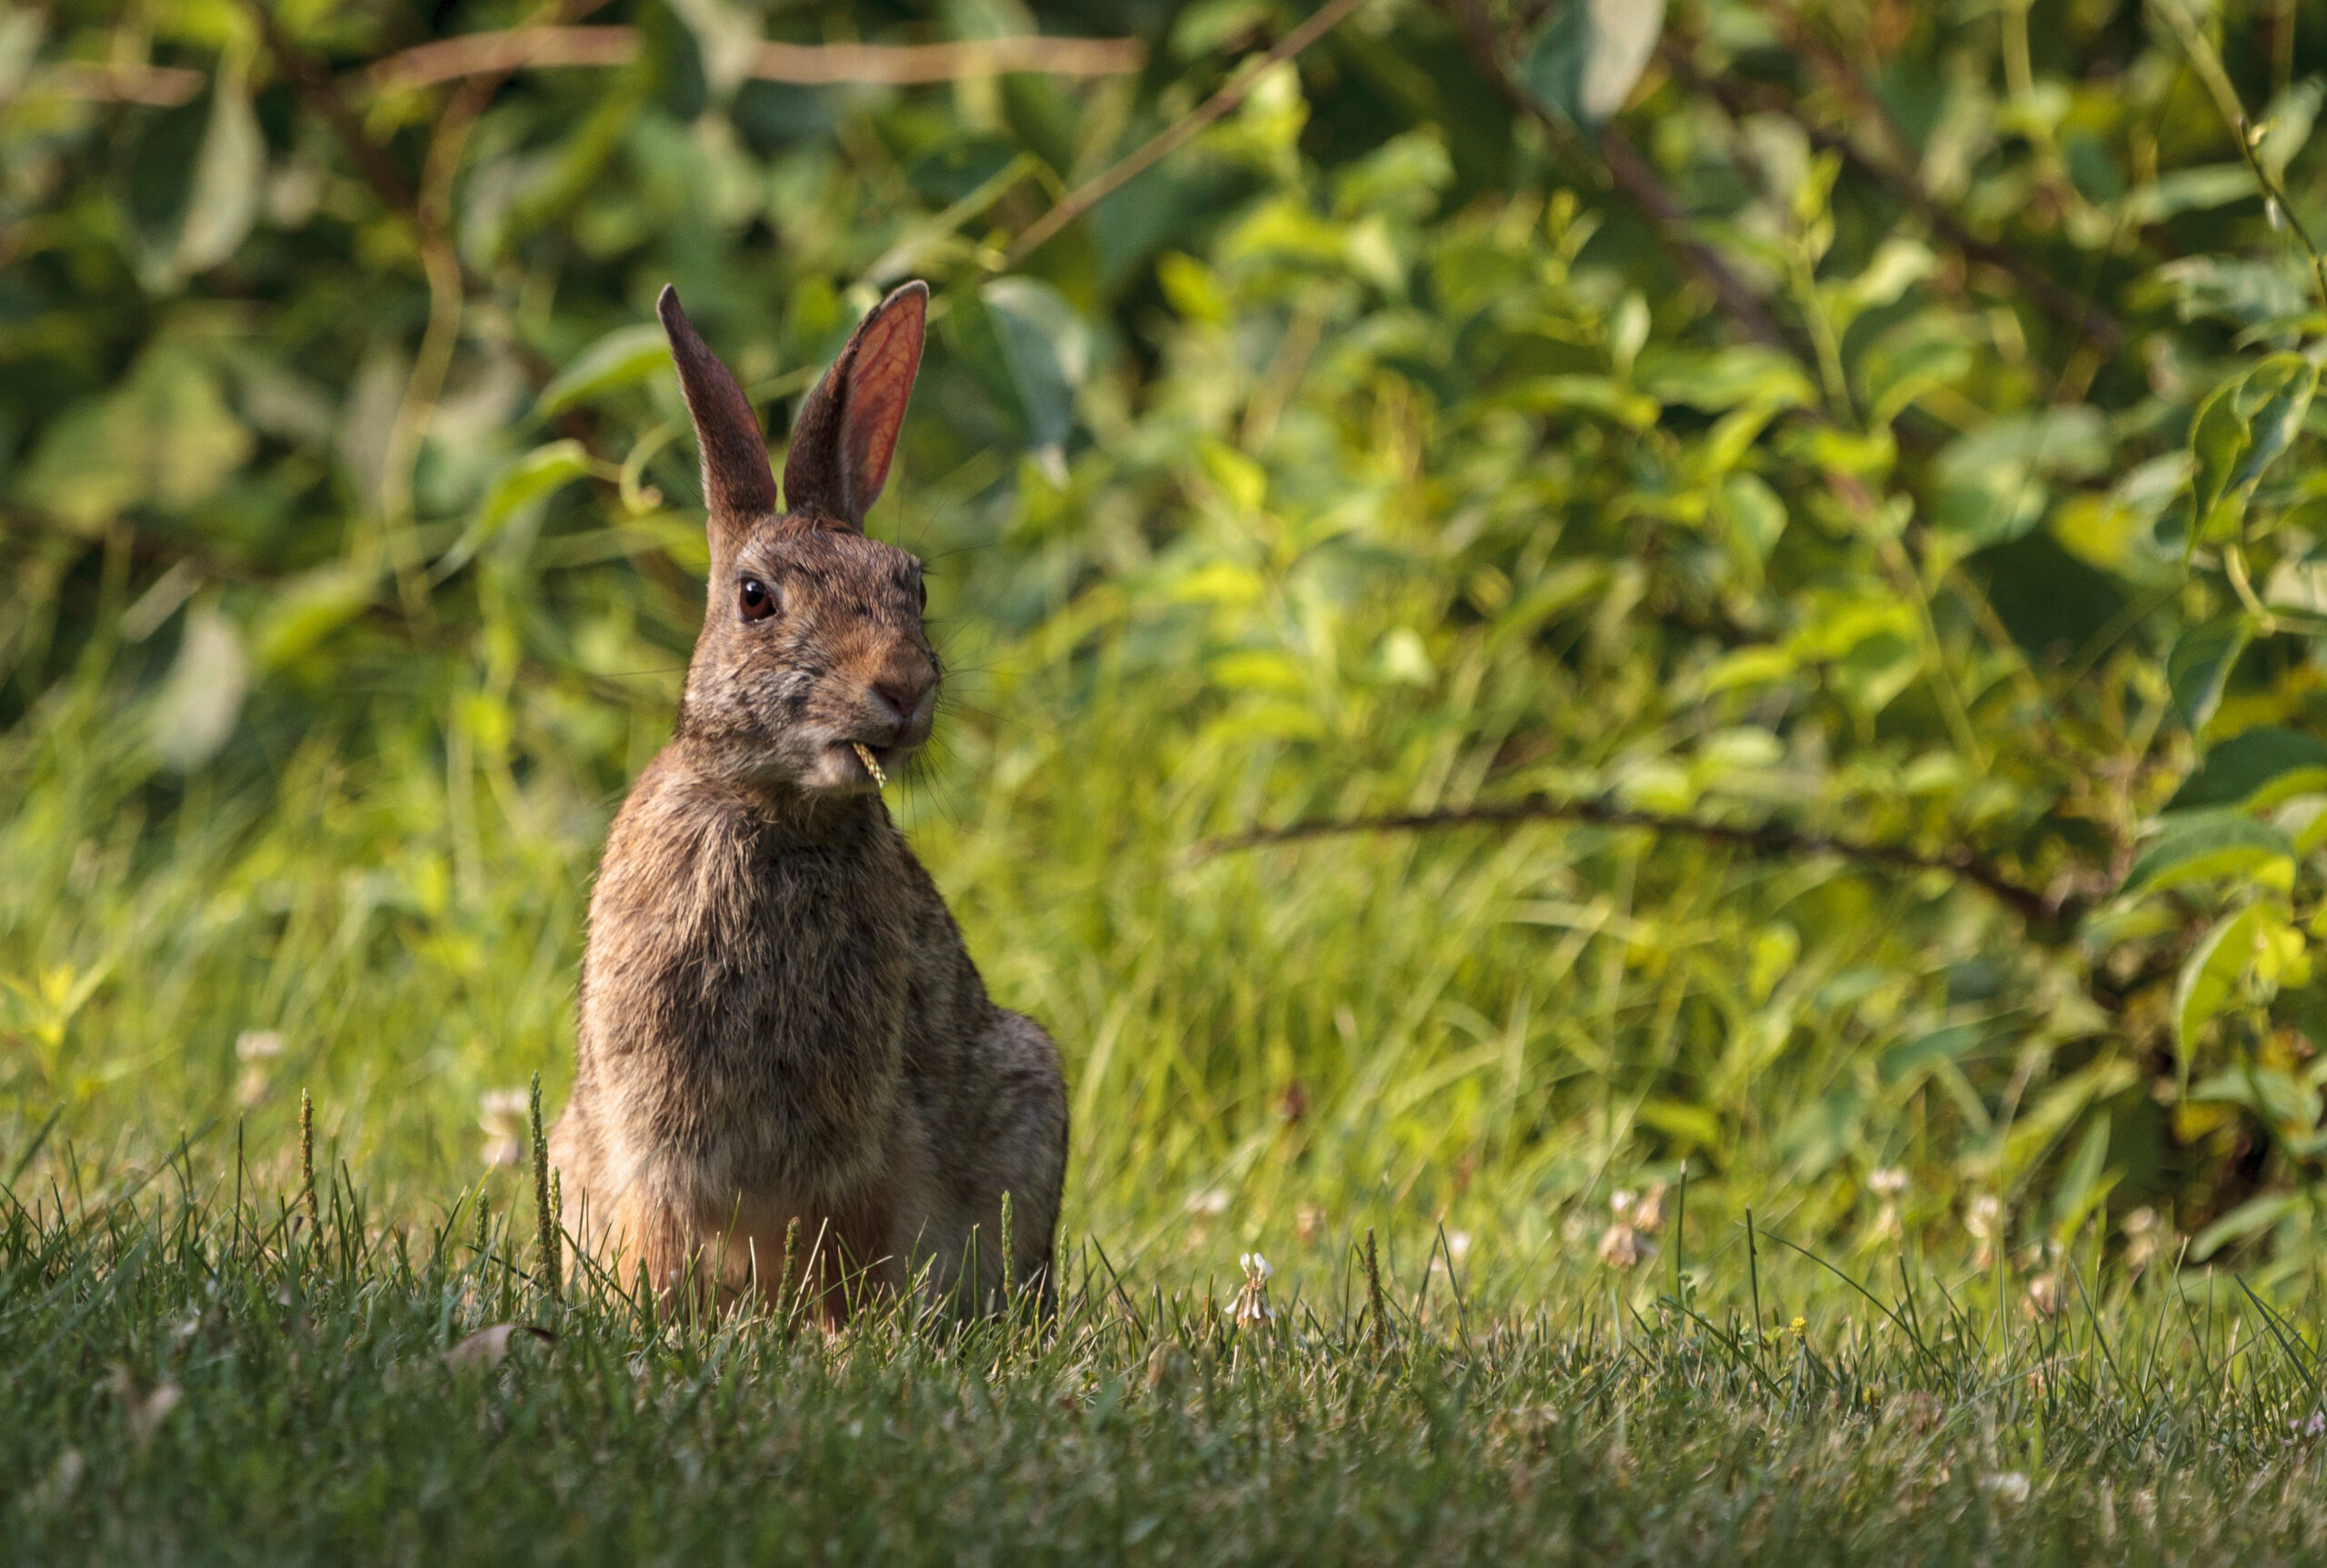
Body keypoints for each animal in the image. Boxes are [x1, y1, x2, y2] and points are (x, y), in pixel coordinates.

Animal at [554, 281, 1070, 1321]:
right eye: (755, 597)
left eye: (914, 586)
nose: (902, 688)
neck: (771, 811)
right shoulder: (654, 1139)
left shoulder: (857, 1141)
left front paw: (842, 1336)